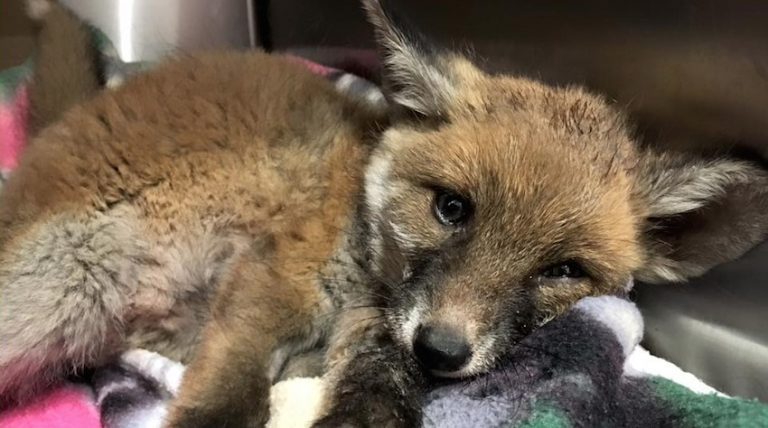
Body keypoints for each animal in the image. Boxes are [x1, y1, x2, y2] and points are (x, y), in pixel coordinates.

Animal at [1, 0, 767, 426]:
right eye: (452, 208)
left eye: (564, 270)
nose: (443, 351)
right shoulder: (269, 284)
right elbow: (228, 396)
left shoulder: (378, 332)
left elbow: (375, 391)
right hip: (52, 300)